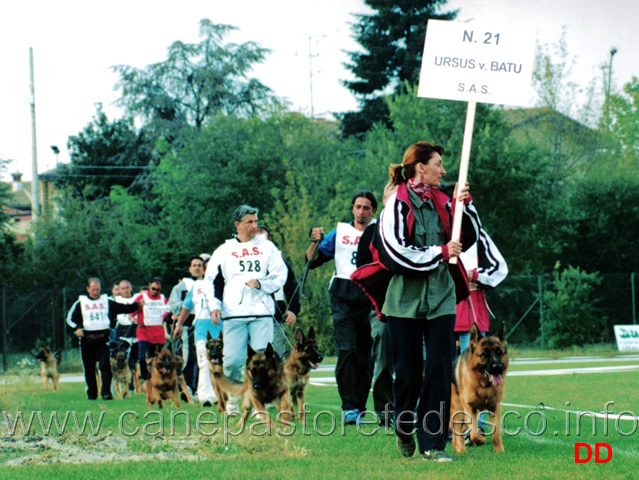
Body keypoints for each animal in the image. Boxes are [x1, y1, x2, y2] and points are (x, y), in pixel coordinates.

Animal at [450, 322, 510, 454]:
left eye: (499, 352)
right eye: (484, 354)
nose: (497, 367)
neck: (484, 385)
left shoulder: (494, 407)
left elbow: (496, 433)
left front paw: (500, 451)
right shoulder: (469, 407)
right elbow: (474, 433)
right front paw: (480, 440)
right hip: (458, 409)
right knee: (457, 433)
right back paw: (461, 450)